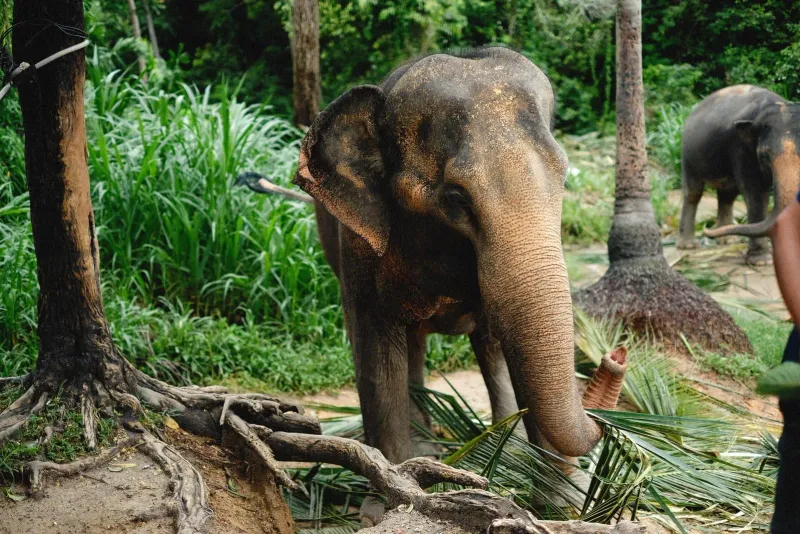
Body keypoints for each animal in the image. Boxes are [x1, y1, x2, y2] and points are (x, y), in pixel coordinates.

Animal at [239, 47, 624, 470]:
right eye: (456, 198)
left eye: (564, 180)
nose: (615, 356)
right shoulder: (357, 243)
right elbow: (377, 362)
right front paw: (395, 478)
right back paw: (429, 447)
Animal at [678, 84, 800, 265]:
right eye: (765, 156)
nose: (707, 231)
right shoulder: (740, 148)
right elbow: (755, 194)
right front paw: (761, 261)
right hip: (688, 154)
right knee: (693, 193)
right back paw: (687, 246)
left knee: (728, 195)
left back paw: (728, 240)